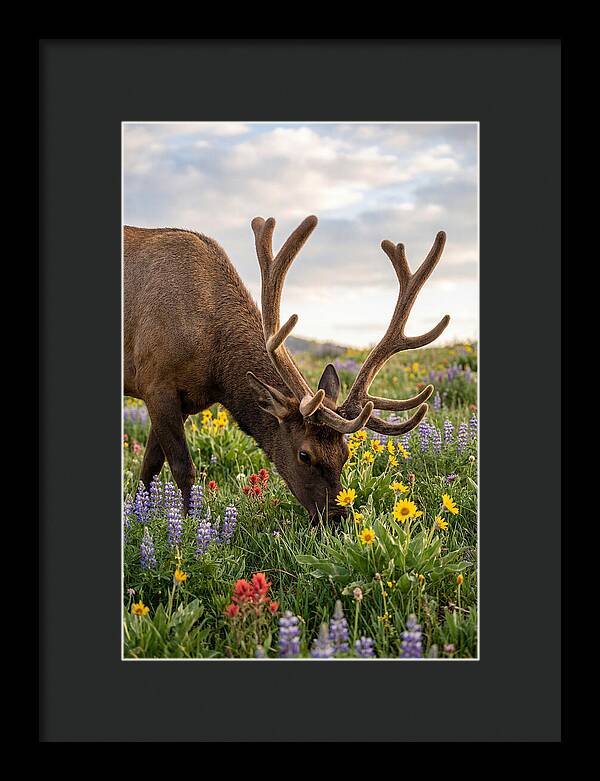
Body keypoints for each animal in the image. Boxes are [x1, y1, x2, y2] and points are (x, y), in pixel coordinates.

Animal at [124, 215, 450, 522]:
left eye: (345, 453)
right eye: (304, 455)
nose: (336, 518)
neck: (216, 367)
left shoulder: (184, 400)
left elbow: (149, 467)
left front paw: (141, 514)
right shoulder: (156, 383)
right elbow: (181, 468)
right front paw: (186, 524)